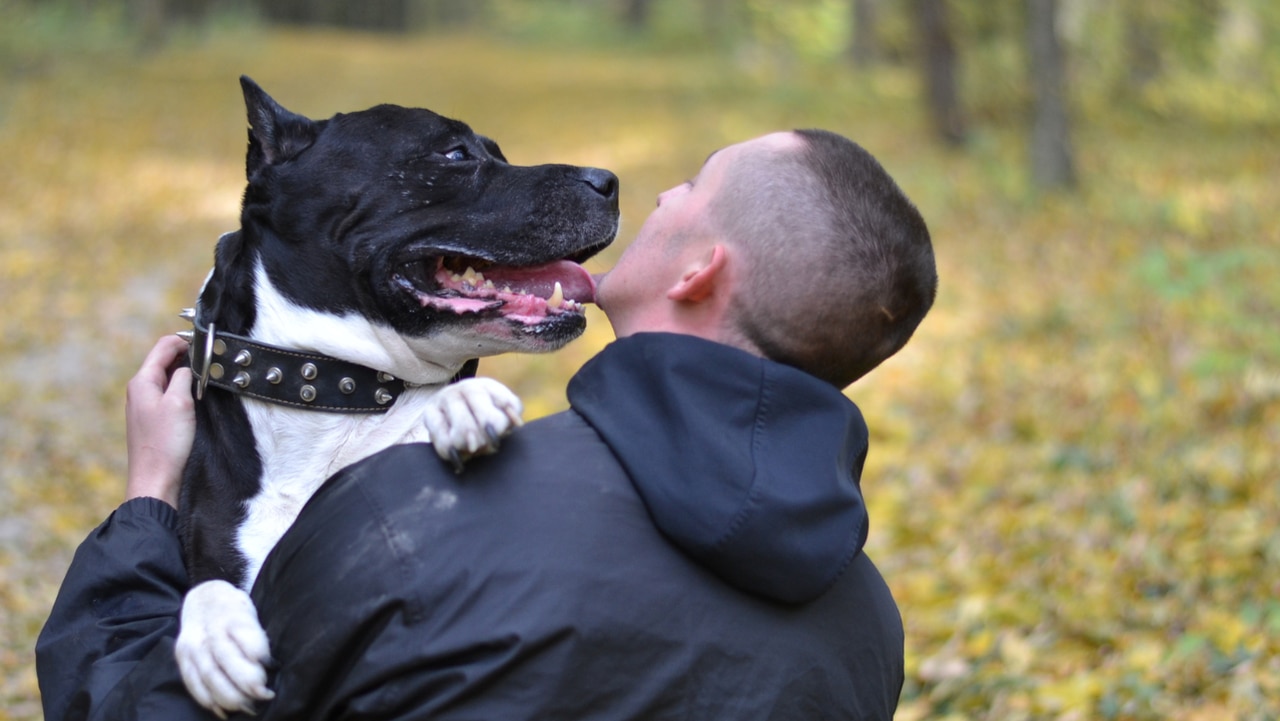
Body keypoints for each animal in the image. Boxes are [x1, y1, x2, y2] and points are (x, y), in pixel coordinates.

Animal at [176, 79, 619, 717]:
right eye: (455, 154)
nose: (609, 181)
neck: (338, 393)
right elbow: (205, 583)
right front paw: (212, 637)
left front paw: (460, 406)